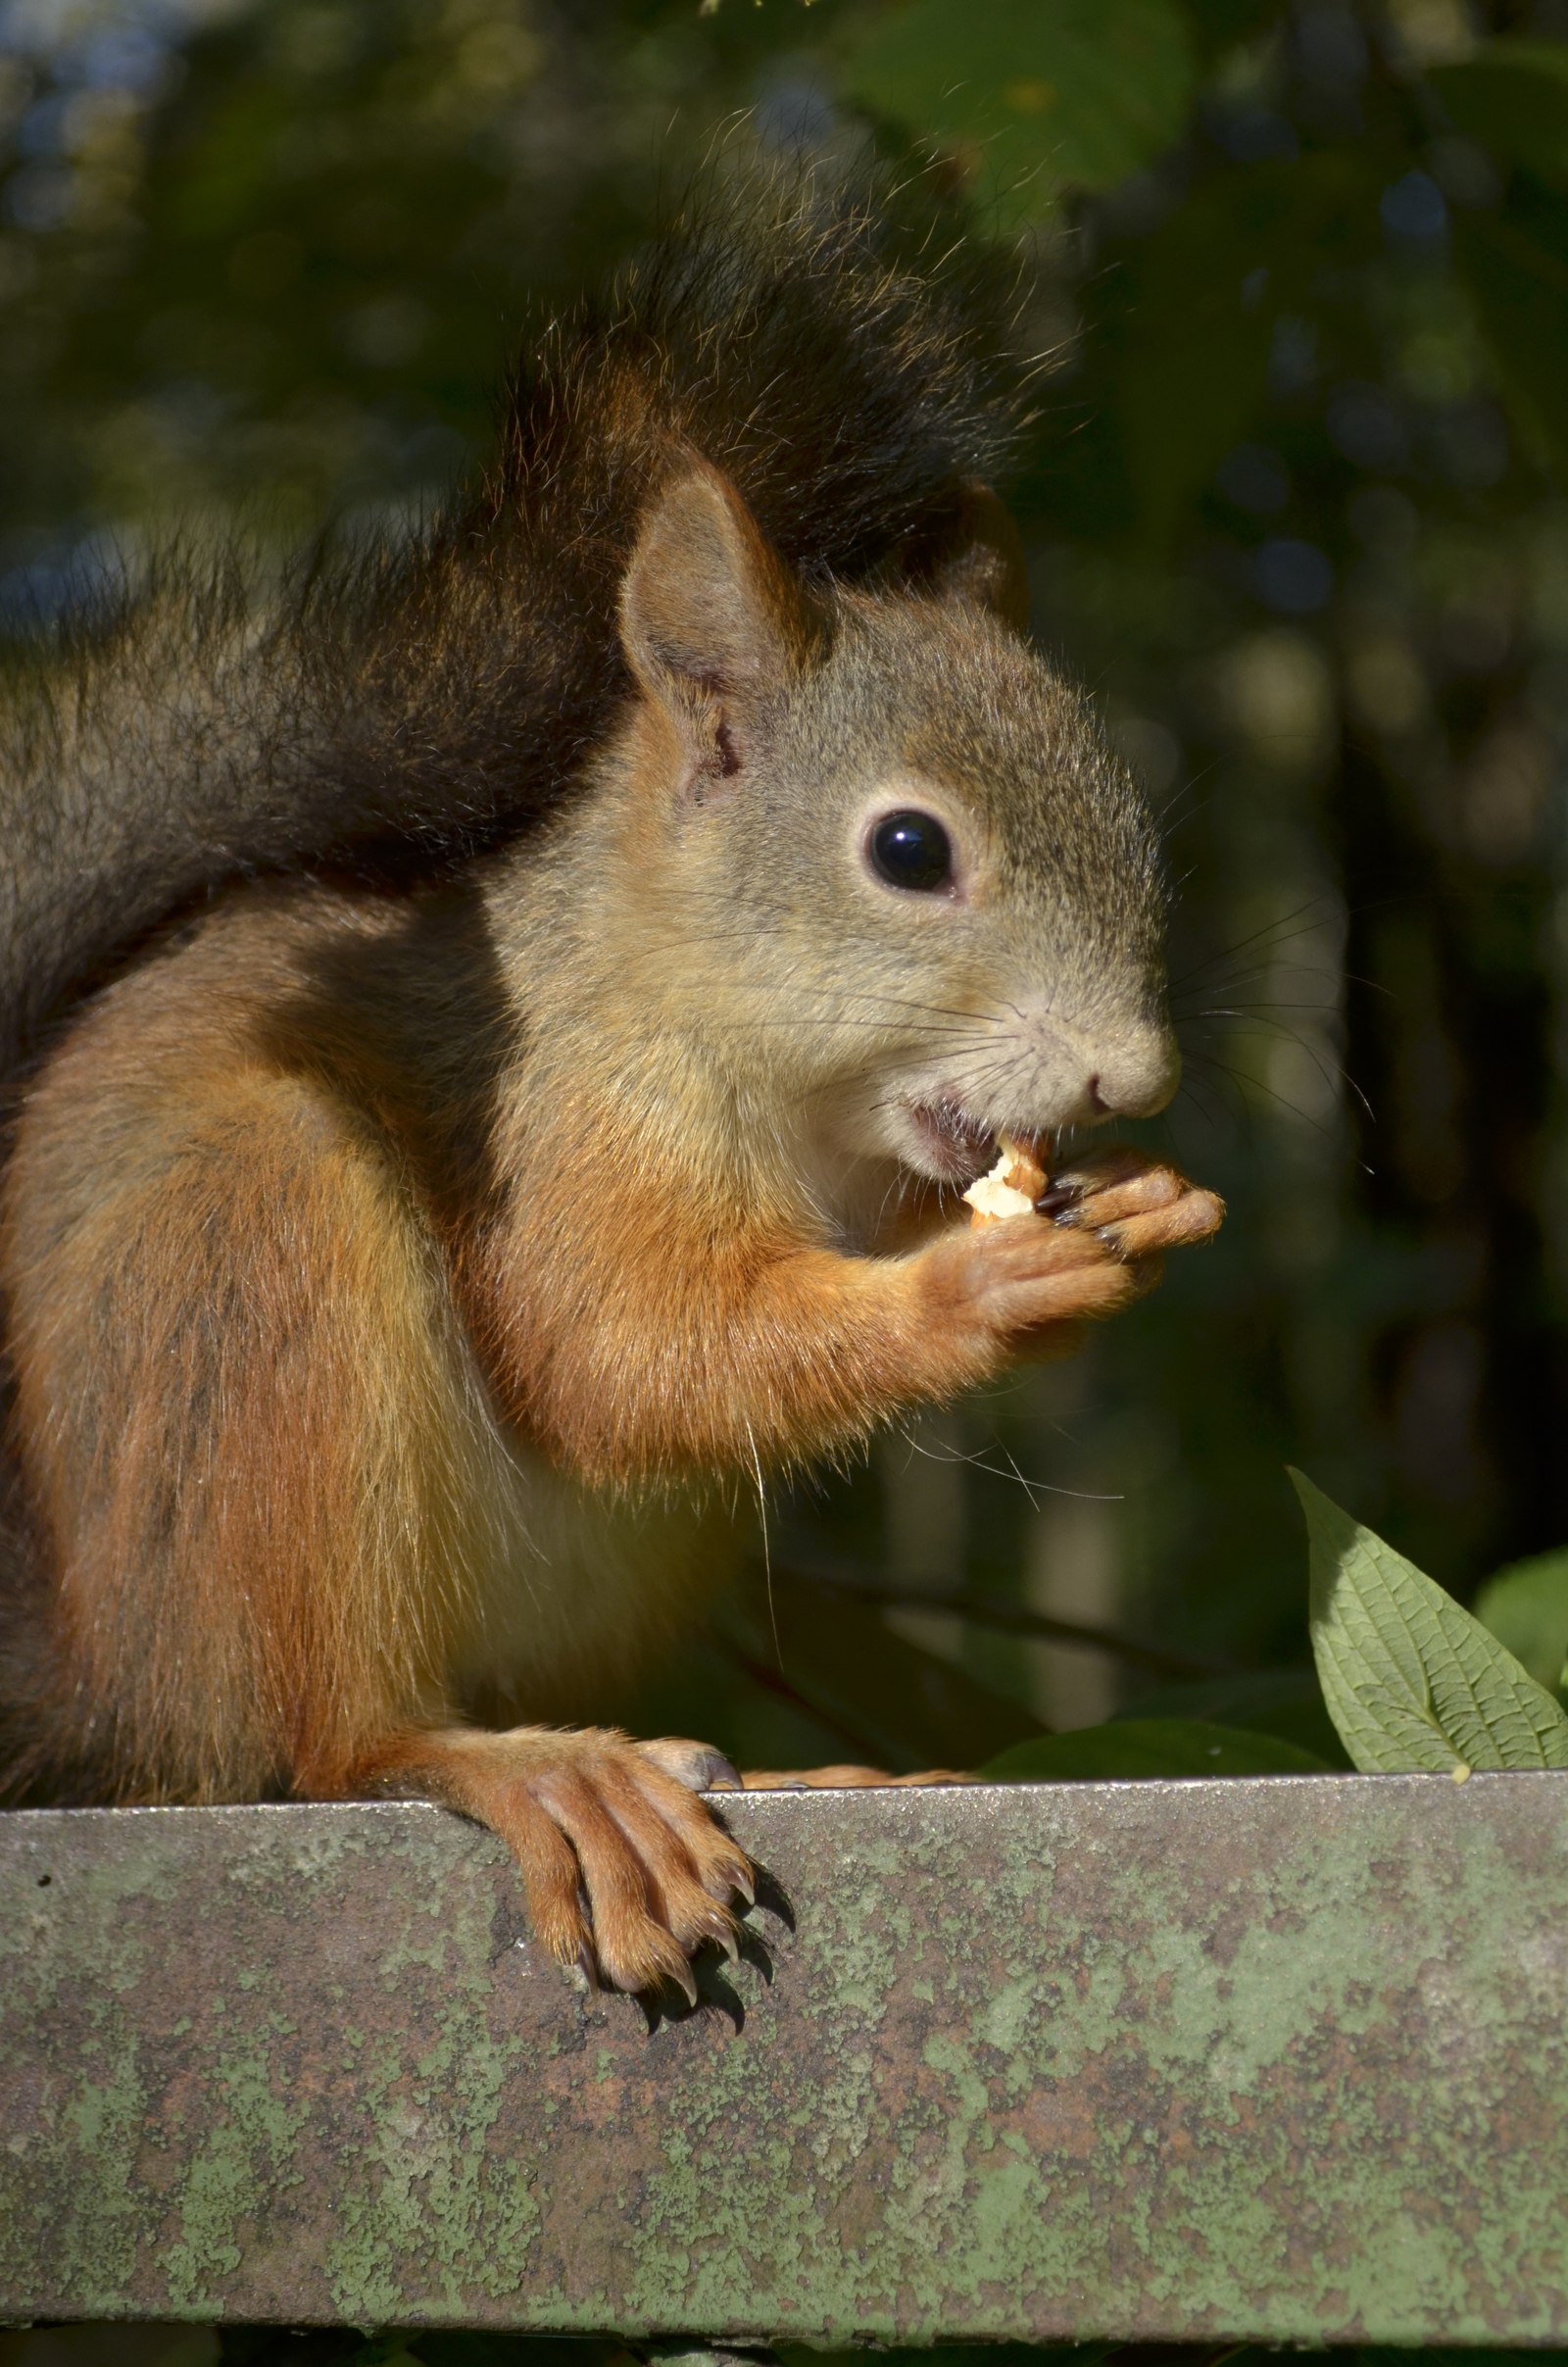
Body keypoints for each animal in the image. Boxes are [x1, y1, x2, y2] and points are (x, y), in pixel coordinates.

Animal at [0, 162, 1229, 1997]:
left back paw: (761, 1767)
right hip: (247, 1268)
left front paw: (1140, 1206)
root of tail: (90, 1688)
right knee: (326, 1741)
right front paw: (974, 1287)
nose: (1134, 1078)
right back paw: (543, 1777)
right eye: (910, 849)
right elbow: (611, 1344)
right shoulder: (557, 1119)